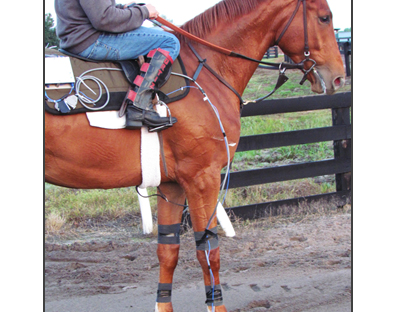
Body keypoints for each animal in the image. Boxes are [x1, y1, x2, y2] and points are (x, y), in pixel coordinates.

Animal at [44, 1, 344, 310]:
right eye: (325, 17)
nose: (338, 76)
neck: (207, 74)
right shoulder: (202, 179)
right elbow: (208, 251)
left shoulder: (172, 185)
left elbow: (168, 251)